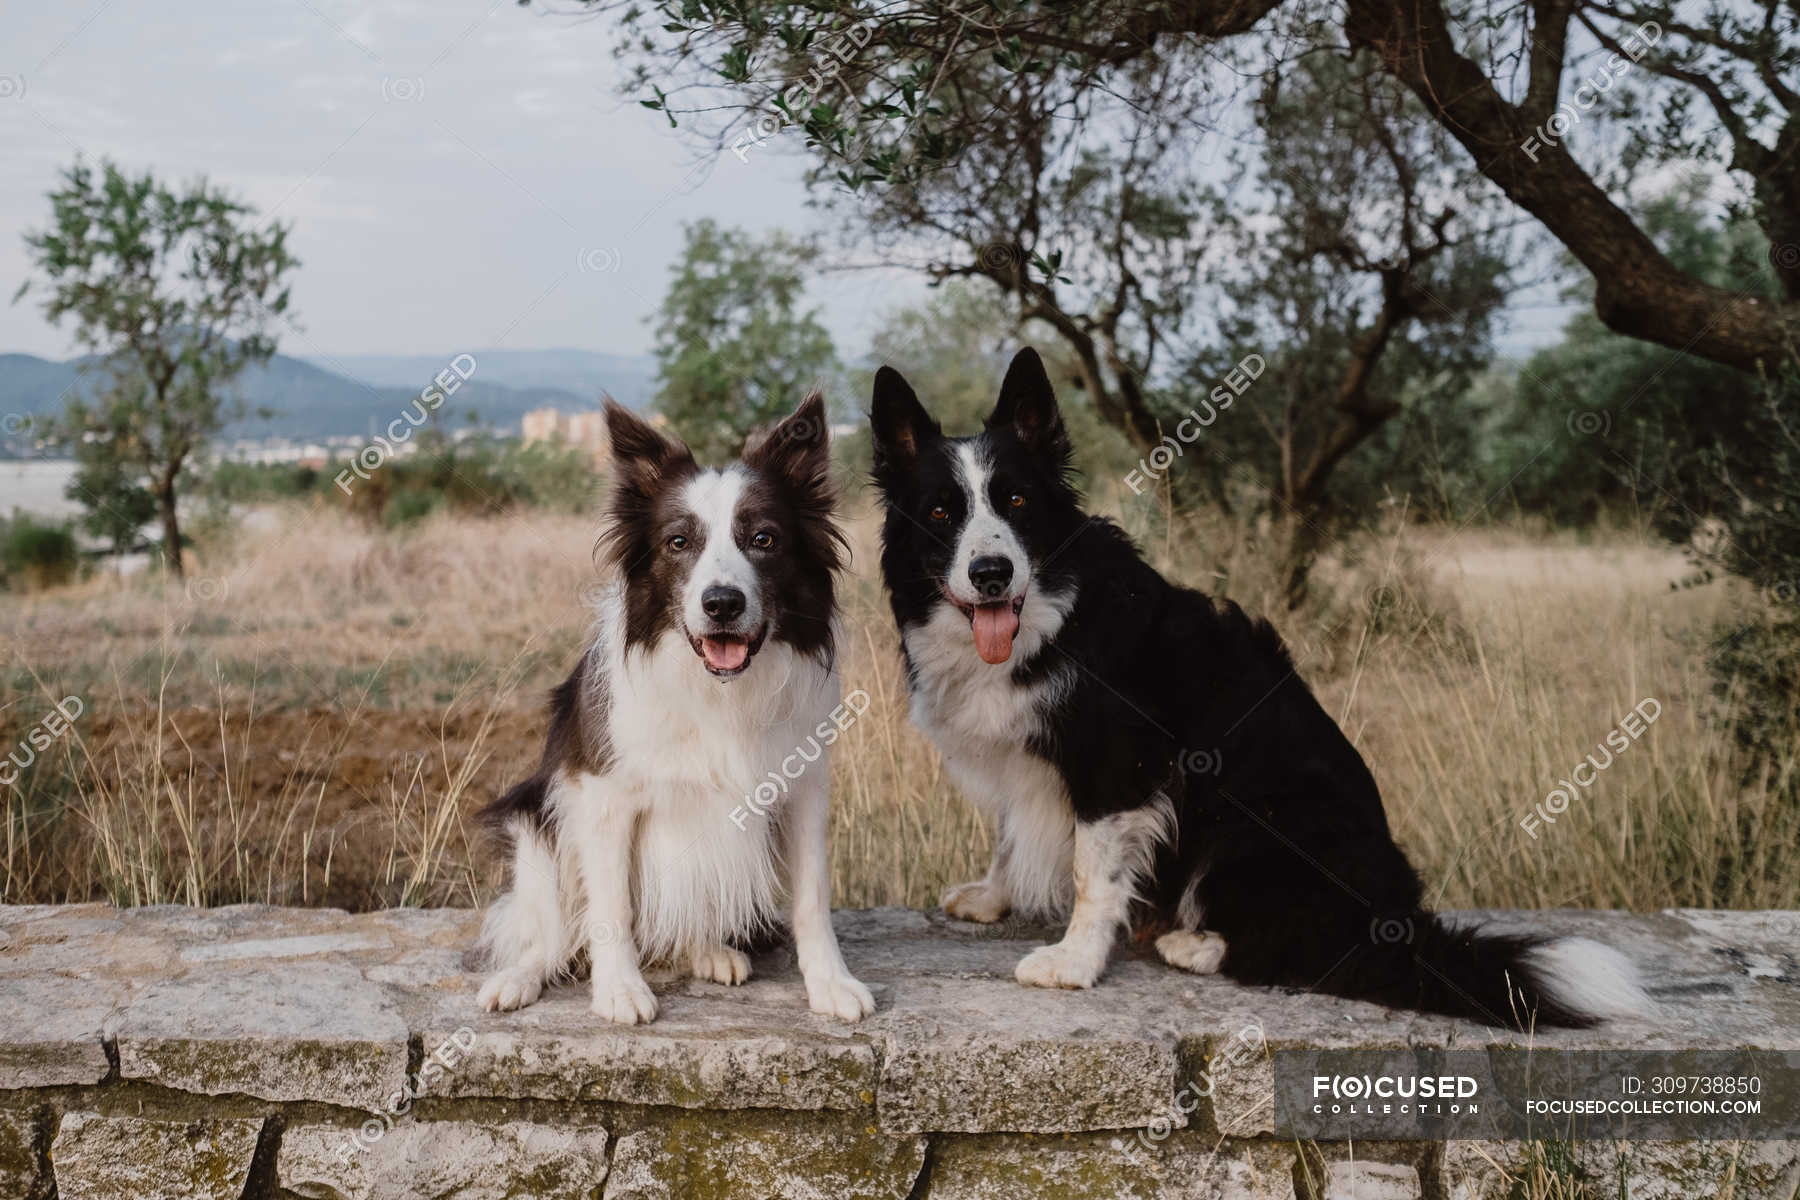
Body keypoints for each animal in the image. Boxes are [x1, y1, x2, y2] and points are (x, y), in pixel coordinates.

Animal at [475, 399, 874, 1029]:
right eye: (679, 542)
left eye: (764, 538)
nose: (722, 604)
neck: (718, 689)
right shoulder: (604, 798)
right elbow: (610, 906)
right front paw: (619, 990)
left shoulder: (803, 788)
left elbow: (812, 898)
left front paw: (831, 984)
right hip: (536, 824)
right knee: (549, 933)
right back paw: (518, 977)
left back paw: (708, 951)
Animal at [871, 349, 1648, 1036]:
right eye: (940, 513)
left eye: (1017, 500)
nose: (992, 573)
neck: (1047, 616)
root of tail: (1395, 923)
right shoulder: (1029, 758)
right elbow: (1009, 832)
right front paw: (993, 897)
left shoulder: (1119, 762)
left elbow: (1096, 872)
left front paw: (1073, 962)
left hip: (1257, 818)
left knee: (1307, 947)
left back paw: (1197, 942)